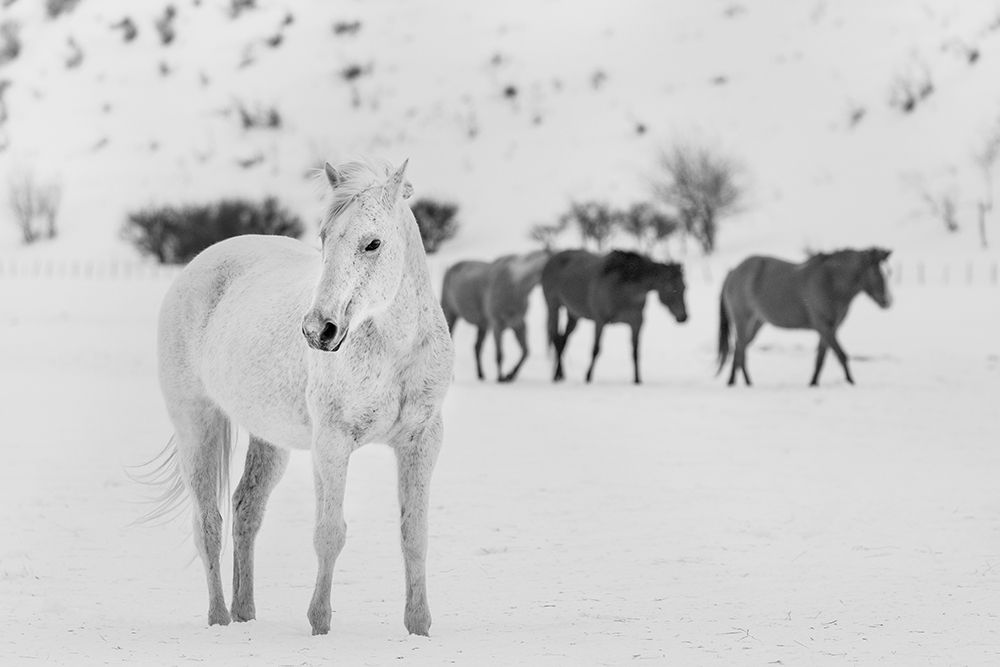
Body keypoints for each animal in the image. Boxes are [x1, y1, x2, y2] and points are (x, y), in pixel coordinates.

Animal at [149, 159, 454, 636]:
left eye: (373, 243)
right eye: (325, 237)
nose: (318, 331)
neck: (394, 349)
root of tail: (200, 263)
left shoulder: (422, 441)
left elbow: (414, 535)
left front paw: (418, 627)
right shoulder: (331, 443)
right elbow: (329, 533)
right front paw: (320, 624)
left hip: (268, 440)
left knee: (246, 510)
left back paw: (245, 613)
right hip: (197, 425)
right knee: (209, 524)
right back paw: (219, 619)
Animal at [440, 249, 550, 382]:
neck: (515, 286)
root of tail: (449, 269)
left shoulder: (519, 324)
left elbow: (526, 351)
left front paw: (510, 375)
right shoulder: (497, 325)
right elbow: (499, 355)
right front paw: (501, 378)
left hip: (482, 325)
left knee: (477, 347)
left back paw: (481, 375)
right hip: (450, 315)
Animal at [541, 249, 688, 384]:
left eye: (684, 287)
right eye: (671, 288)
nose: (684, 317)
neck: (623, 289)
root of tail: (551, 260)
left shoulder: (637, 322)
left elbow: (635, 351)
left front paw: (637, 380)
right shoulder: (600, 321)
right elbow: (596, 349)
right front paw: (588, 377)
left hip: (573, 314)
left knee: (563, 339)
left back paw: (560, 374)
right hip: (553, 306)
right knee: (556, 337)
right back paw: (556, 376)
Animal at [717, 247, 892, 387]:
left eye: (888, 273)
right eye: (877, 272)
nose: (888, 301)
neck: (831, 282)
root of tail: (733, 271)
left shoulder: (829, 329)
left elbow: (820, 359)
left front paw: (813, 383)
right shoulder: (824, 326)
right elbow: (841, 355)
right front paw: (851, 382)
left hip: (756, 323)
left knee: (739, 348)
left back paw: (736, 381)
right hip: (743, 320)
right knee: (740, 349)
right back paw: (744, 382)